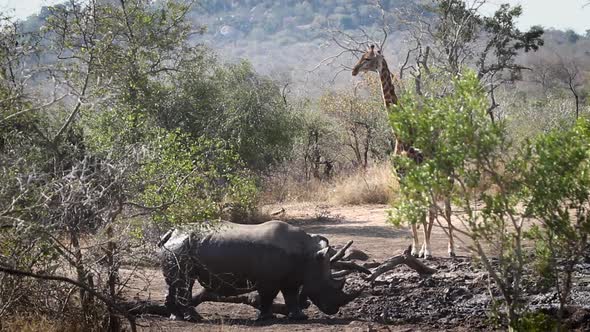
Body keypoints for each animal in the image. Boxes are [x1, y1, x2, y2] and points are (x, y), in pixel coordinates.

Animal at [352, 44, 458, 258]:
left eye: (367, 58)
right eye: (362, 57)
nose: (354, 70)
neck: (401, 136)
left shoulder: (418, 177)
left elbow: (424, 211)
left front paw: (426, 250)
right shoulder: (402, 177)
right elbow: (413, 211)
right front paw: (416, 249)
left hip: (446, 178)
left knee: (445, 208)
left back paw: (450, 249)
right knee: (433, 208)